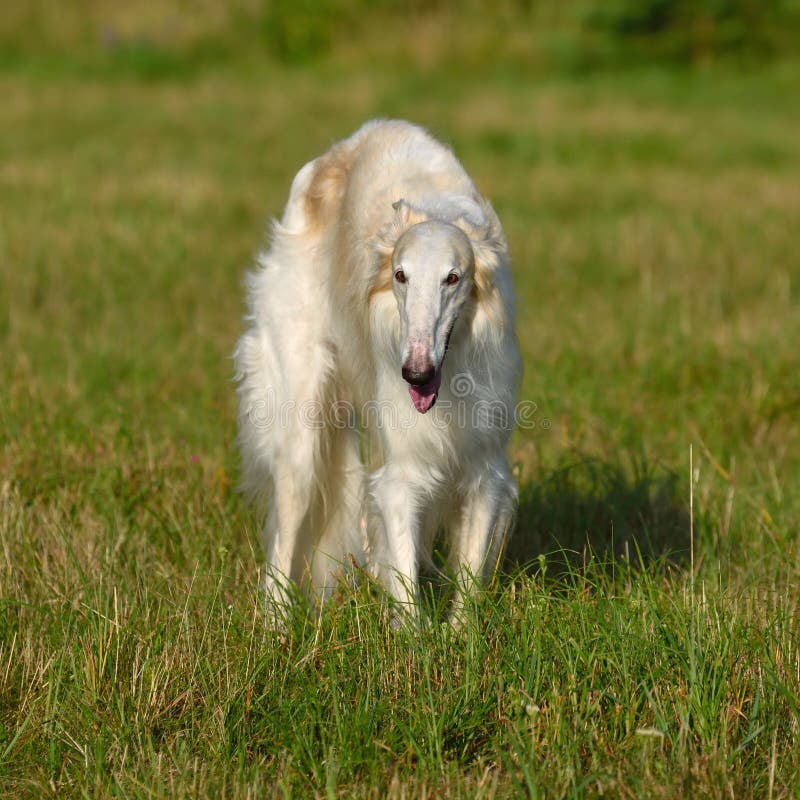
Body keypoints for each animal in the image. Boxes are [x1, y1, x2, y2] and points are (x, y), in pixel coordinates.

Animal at [233, 120, 520, 620]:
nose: (416, 374)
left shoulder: (484, 466)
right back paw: (275, 624)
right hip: (301, 422)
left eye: (453, 278)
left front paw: (459, 632)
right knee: (284, 541)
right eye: (401, 275)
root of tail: (339, 150)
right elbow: (405, 585)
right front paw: (413, 636)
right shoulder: (401, 466)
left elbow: (466, 586)